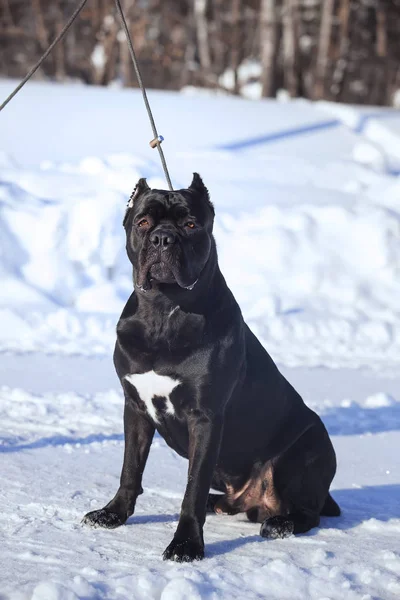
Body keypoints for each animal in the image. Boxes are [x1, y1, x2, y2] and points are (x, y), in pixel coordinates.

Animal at [83, 173, 340, 564]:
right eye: (143, 222)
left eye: (191, 225)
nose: (163, 238)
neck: (163, 311)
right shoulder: (135, 408)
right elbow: (130, 468)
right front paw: (112, 514)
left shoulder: (205, 417)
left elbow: (193, 487)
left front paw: (185, 545)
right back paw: (220, 505)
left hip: (305, 449)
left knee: (307, 512)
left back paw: (280, 524)